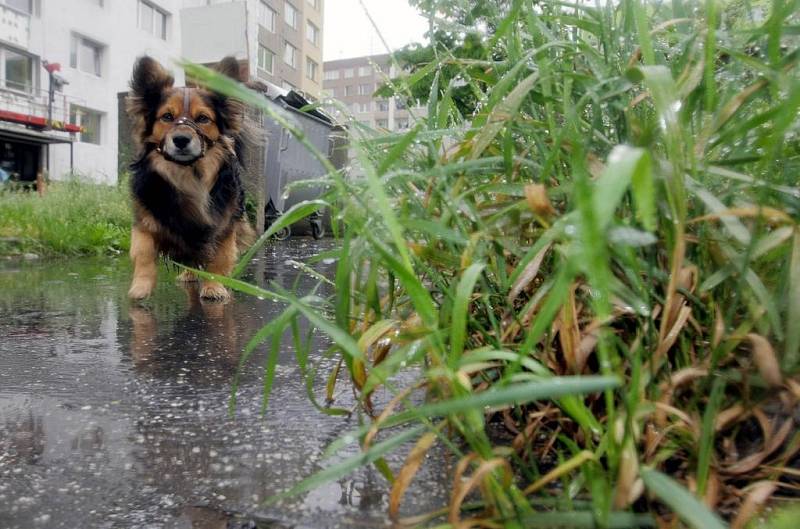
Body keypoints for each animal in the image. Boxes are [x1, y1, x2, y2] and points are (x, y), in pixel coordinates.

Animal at [126, 56, 253, 304]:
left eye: (203, 119)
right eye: (167, 117)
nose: (181, 139)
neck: (188, 175)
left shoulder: (224, 224)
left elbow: (220, 257)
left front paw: (214, 287)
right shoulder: (145, 219)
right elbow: (144, 252)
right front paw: (140, 288)